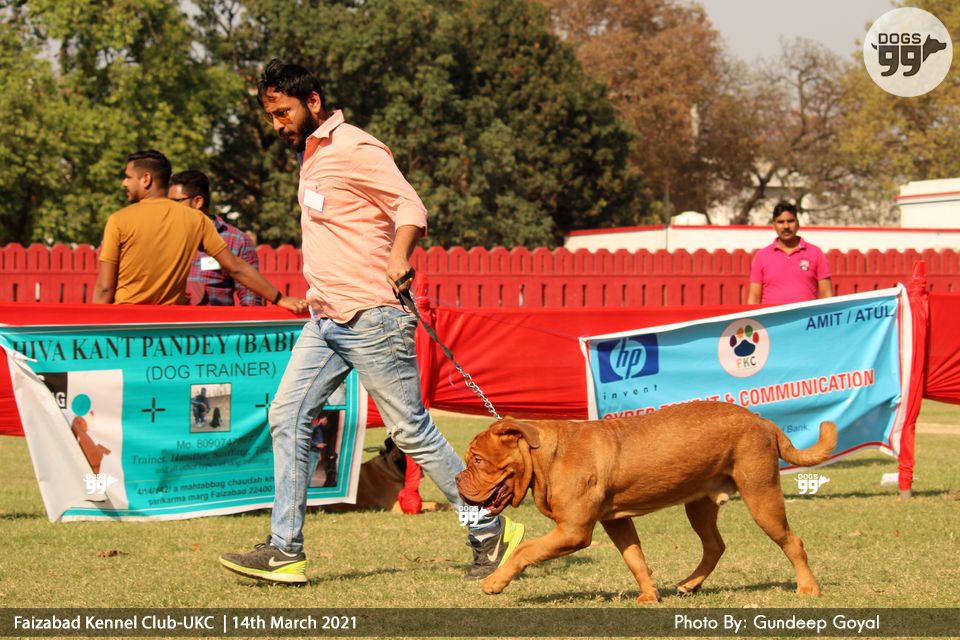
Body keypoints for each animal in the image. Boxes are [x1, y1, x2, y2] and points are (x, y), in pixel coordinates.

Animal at [455, 401, 836, 603]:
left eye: (478, 460)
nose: (458, 479)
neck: (546, 456)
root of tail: (764, 422)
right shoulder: (615, 520)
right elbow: (635, 558)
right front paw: (650, 595)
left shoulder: (573, 530)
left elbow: (524, 550)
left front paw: (494, 582)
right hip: (699, 504)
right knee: (715, 545)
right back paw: (690, 584)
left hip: (761, 496)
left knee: (792, 541)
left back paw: (808, 588)